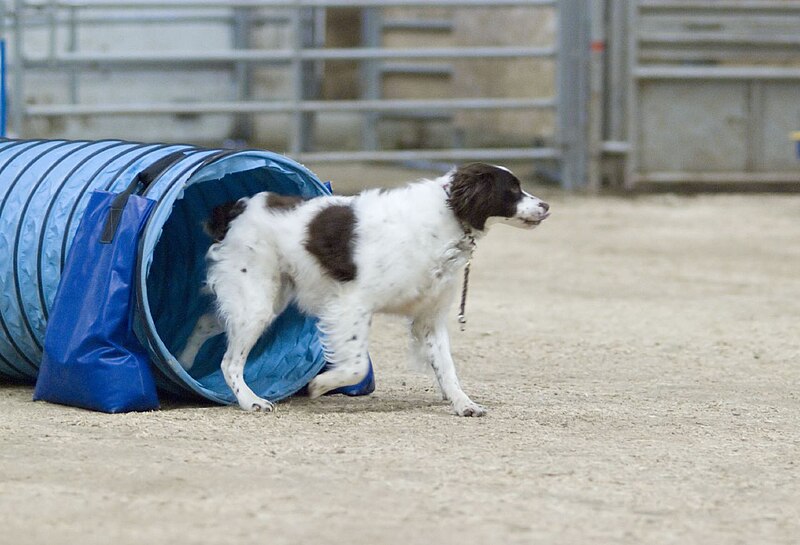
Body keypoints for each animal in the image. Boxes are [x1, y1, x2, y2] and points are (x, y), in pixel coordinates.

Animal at [179, 164, 552, 414]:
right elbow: (357, 364)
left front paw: (463, 403)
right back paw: (251, 401)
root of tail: (238, 207)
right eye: (513, 189)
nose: (547, 206)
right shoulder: (352, 304)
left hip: (262, 296)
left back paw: (182, 361)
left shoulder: (429, 318)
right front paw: (320, 385)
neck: (444, 218)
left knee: (206, 322)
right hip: (256, 300)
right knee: (230, 361)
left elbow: (447, 367)